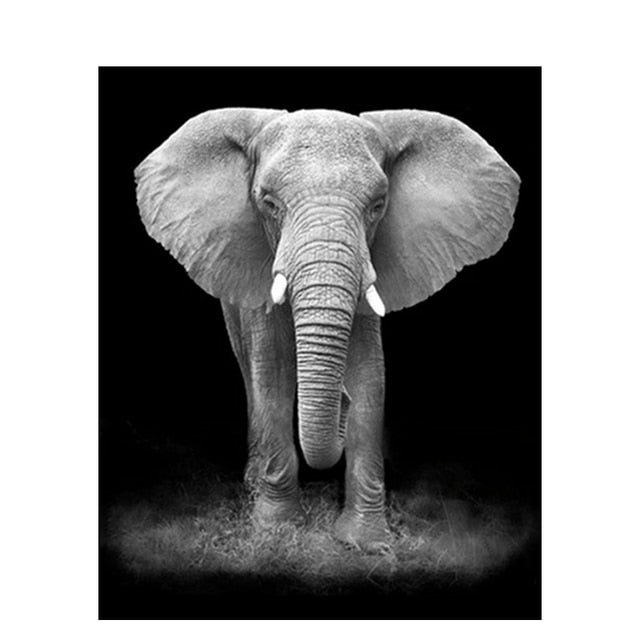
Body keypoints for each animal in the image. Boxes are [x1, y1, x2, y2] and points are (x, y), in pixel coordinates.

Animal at [135, 108, 520, 551]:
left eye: (378, 205)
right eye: (268, 203)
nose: (341, 401)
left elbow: (370, 375)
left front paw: (367, 543)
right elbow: (273, 373)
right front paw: (276, 530)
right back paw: (253, 484)